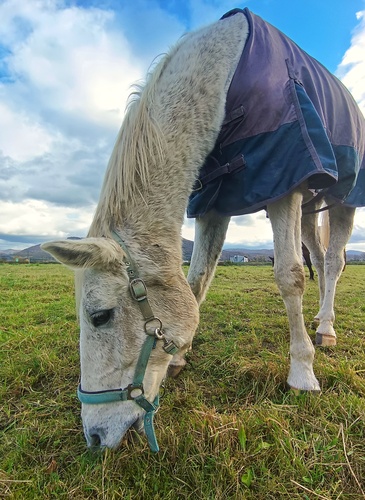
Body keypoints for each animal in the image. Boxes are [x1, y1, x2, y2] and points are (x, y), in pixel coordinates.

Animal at [41, 8, 362, 454]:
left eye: (100, 316)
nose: (94, 436)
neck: (227, 76)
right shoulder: (214, 200)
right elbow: (197, 281)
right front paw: (179, 357)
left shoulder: (284, 180)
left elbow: (289, 277)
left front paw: (301, 373)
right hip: (311, 206)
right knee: (318, 256)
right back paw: (318, 318)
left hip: (342, 197)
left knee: (332, 263)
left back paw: (326, 329)